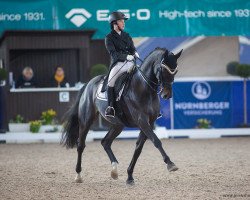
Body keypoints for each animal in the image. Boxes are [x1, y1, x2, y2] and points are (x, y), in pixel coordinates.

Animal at [60, 47, 182, 184]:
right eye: (163, 69)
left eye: (175, 71)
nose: (167, 95)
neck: (144, 88)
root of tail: (88, 84)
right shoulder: (142, 121)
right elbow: (156, 141)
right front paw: (170, 164)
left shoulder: (149, 123)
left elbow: (138, 148)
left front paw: (129, 176)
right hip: (86, 121)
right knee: (81, 145)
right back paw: (78, 175)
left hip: (118, 125)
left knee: (105, 142)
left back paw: (114, 170)